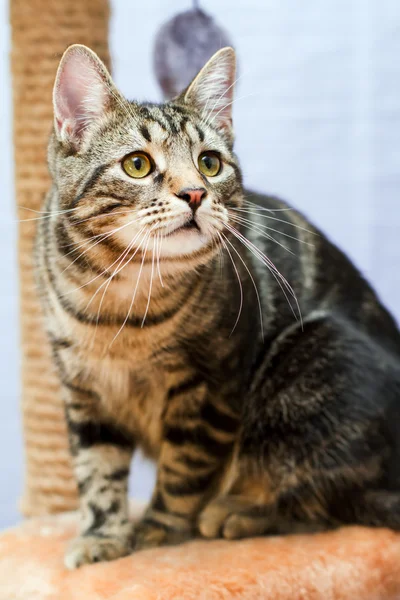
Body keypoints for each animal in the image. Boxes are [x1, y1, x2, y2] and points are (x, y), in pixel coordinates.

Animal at [33, 42, 400, 568]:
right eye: (137, 165)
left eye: (209, 163)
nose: (194, 192)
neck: (121, 301)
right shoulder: (82, 389)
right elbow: (96, 468)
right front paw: (102, 532)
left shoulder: (209, 386)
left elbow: (184, 468)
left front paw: (158, 530)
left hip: (314, 351)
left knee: (328, 503)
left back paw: (237, 512)